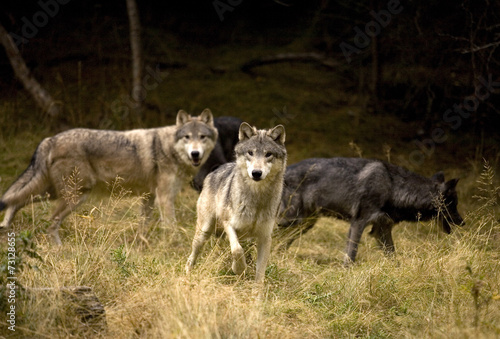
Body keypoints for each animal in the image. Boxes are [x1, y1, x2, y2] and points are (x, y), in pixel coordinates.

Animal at [0, 109, 218, 244]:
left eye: (202, 137)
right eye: (187, 137)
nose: (195, 154)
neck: (168, 148)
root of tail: (50, 139)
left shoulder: (148, 196)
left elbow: (143, 225)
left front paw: (142, 245)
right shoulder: (164, 197)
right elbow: (171, 225)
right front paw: (173, 246)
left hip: (53, 193)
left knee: (16, 201)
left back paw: (5, 227)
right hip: (74, 196)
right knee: (50, 221)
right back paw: (58, 249)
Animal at [184, 123, 288, 282]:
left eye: (268, 154)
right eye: (250, 153)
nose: (256, 173)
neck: (256, 199)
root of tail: (216, 169)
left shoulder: (265, 238)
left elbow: (260, 274)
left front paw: (255, 288)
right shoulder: (228, 223)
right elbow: (237, 250)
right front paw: (239, 269)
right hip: (204, 232)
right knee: (192, 255)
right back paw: (187, 274)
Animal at [278, 157, 464, 266]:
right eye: (453, 205)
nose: (463, 222)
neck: (393, 187)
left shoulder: (381, 230)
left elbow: (393, 257)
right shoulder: (358, 223)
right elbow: (351, 255)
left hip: (303, 225)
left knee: (281, 243)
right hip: (291, 221)